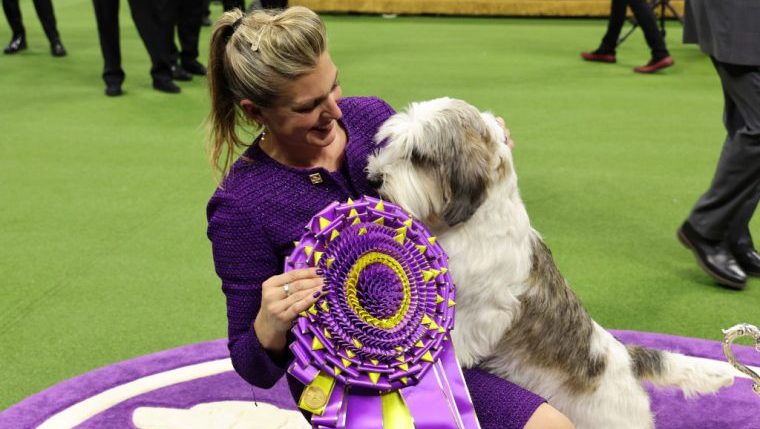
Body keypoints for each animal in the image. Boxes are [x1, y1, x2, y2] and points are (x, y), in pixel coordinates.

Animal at [368, 98, 736, 428]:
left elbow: (457, 338)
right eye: (392, 143)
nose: (374, 178)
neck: (472, 224)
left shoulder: (484, 309)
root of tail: (626, 358)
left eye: (419, 157)